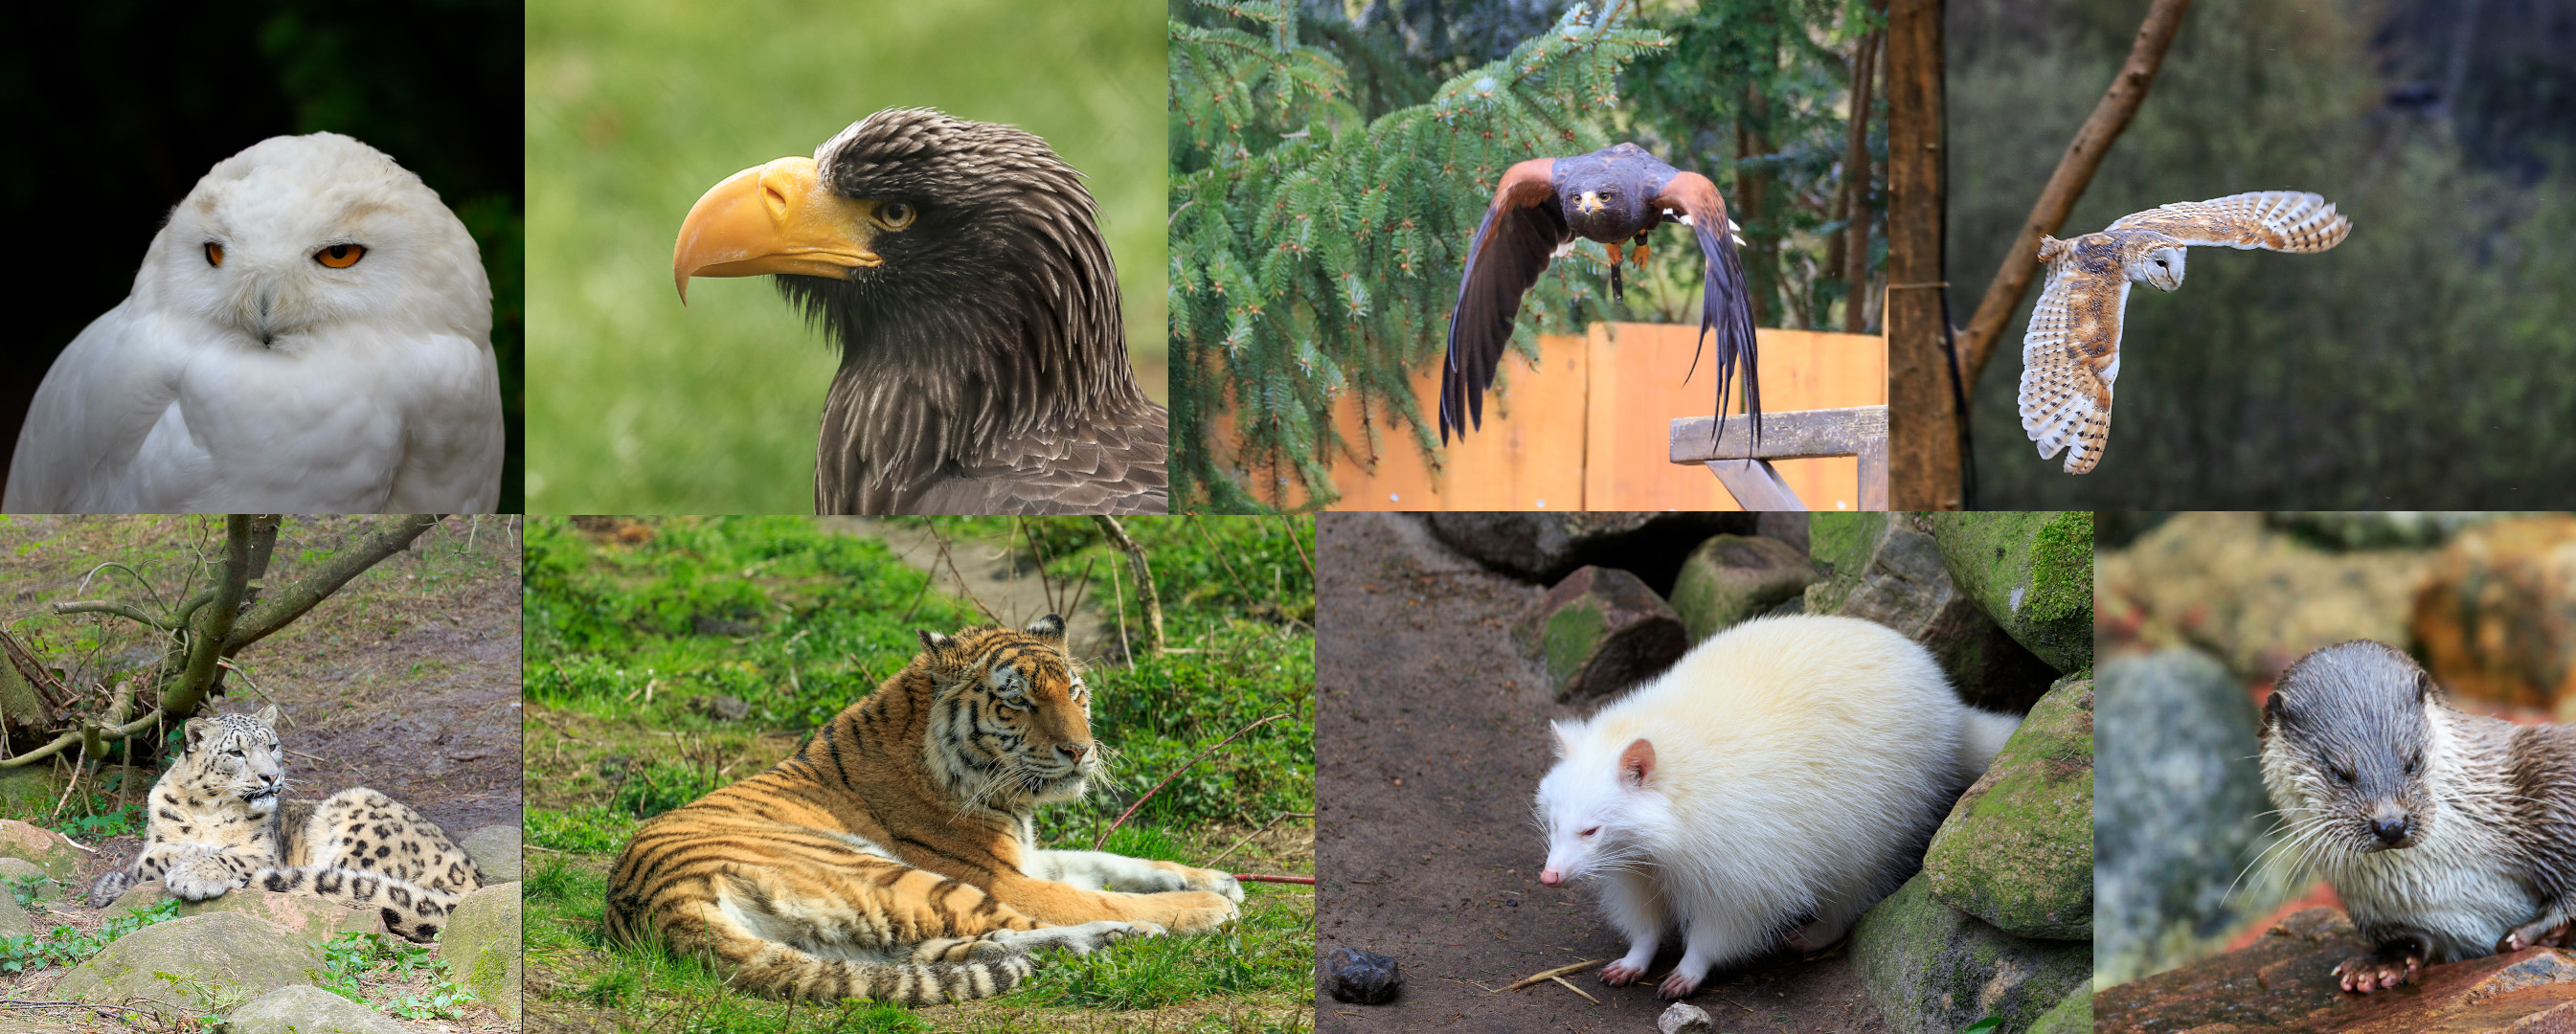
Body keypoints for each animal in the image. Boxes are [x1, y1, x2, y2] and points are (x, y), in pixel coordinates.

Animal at [84, 711, 484, 933]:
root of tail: (475, 881)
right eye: (236, 752)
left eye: (273, 745)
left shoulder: (265, 854)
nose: (270, 776)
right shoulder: (155, 845)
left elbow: (229, 855)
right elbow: (153, 858)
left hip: (354, 818)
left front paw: (195, 873)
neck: (208, 809)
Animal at [605, 613, 1246, 1000]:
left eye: (1074, 692)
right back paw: (1140, 931)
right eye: (1018, 702)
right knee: (1025, 925)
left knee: (961, 948)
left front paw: (1214, 878)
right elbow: (1090, 890)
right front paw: (1208, 903)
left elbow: (1106, 861)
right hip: (893, 874)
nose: (1079, 750)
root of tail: (656, 901)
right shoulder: (1003, 875)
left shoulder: (1027, 855)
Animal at [2256, 637, 2576, 990]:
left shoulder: (2552, 779)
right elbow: (2409, 940)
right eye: (2339, 772)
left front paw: (2542, 930)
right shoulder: (2376, 910)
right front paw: (2380, 963)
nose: (2391, 824)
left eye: (2413, 759)